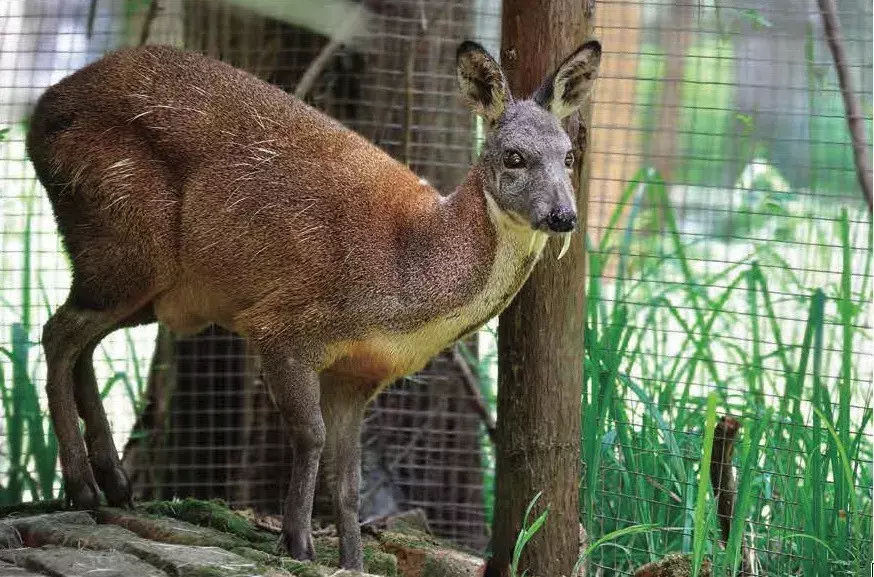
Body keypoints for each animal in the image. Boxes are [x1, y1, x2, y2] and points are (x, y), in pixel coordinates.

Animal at [25, 39, 600, 568]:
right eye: (514, 157)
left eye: (571, 156)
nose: (564, 216)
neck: (409, 269)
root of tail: (40, 112)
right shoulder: (283, 325)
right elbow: (310, 436)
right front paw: (296, 542)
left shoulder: (359, 374)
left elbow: (349, 480)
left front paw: (352, 561)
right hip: (126, 236)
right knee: (58, 334)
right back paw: (83, 487)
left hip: (146, 282)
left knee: (81, 341)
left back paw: (115, 483)